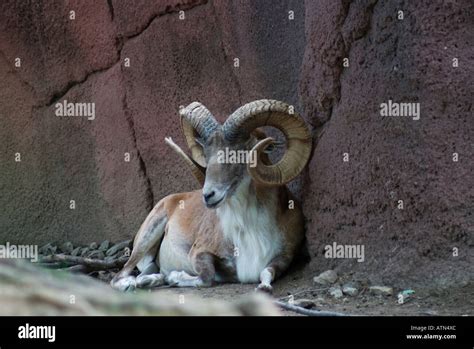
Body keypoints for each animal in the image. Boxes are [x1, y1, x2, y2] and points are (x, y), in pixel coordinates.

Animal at [110, 98, 312, 290]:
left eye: (238, 154)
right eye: (207, 155)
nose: (208, 195)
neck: (250, 229)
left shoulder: (284, 257)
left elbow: (266, 272)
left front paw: (264, 287)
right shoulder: (198, 253)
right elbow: (206, 278)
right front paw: (174, 277)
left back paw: (151, 280)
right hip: (147, 237)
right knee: (118, 276)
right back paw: (133, 284)